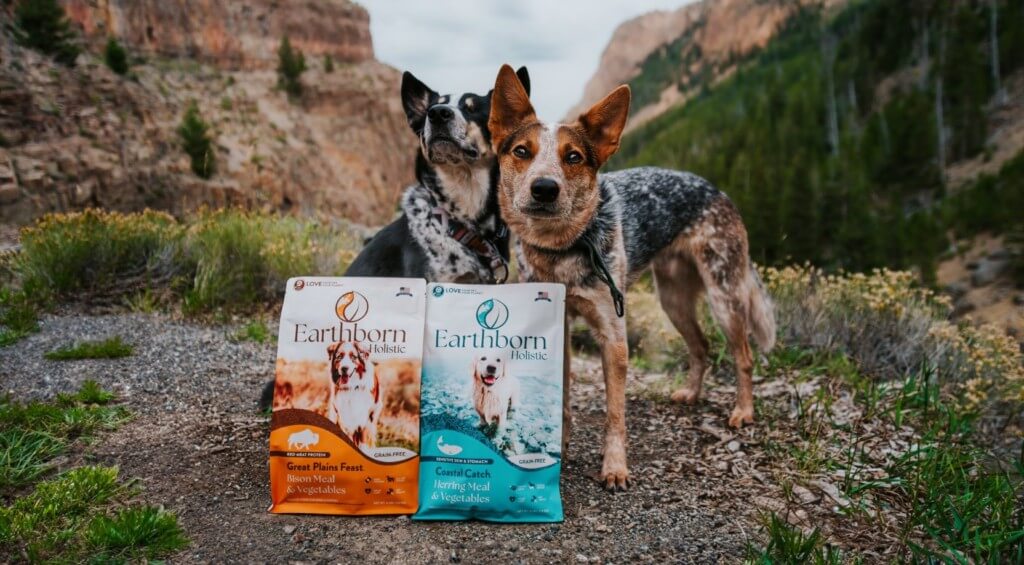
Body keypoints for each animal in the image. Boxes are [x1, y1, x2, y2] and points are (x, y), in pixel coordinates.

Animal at [487, 64, 774, 489]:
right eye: (522, 151)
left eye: (573, 157)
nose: (544, 188)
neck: (563, 249)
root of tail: (716, 190)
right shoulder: (562, 328)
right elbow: (564, 397)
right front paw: (562, 444)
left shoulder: (613, 334)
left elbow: (615, 414)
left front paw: (615, 467)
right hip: (672, 300)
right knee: (701, 346)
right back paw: (691, 392)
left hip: (724, 296)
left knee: (744, 355)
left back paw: (743, 410)